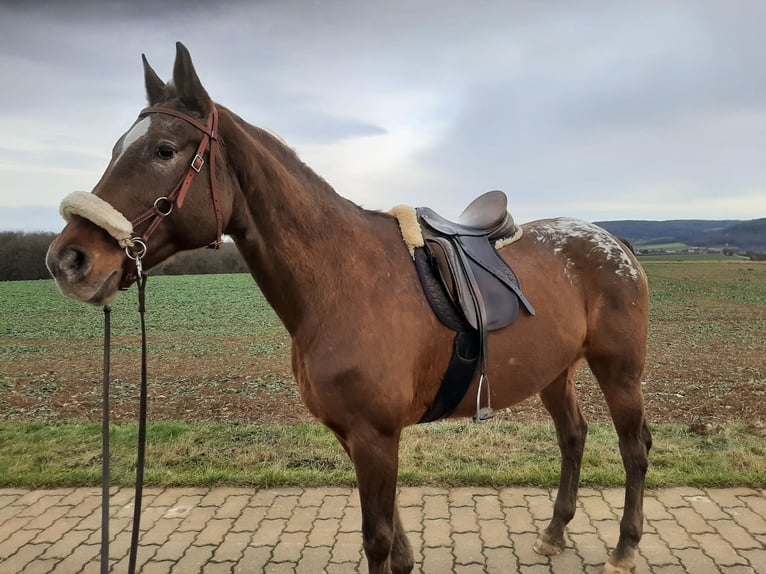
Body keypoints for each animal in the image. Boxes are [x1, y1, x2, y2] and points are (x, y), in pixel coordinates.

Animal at [45, 42, 652, 572]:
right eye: (116, 148)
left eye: (165, 150)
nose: (69, 260)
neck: (341, 280)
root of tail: (614, 243)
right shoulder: (353, 436)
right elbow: (398, 547)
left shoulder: (375, 438)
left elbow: (378, 541)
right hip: (555, 371)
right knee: (573, 437)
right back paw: (554, 532)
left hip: (618, 371)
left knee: (635, 447)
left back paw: (624, 548)